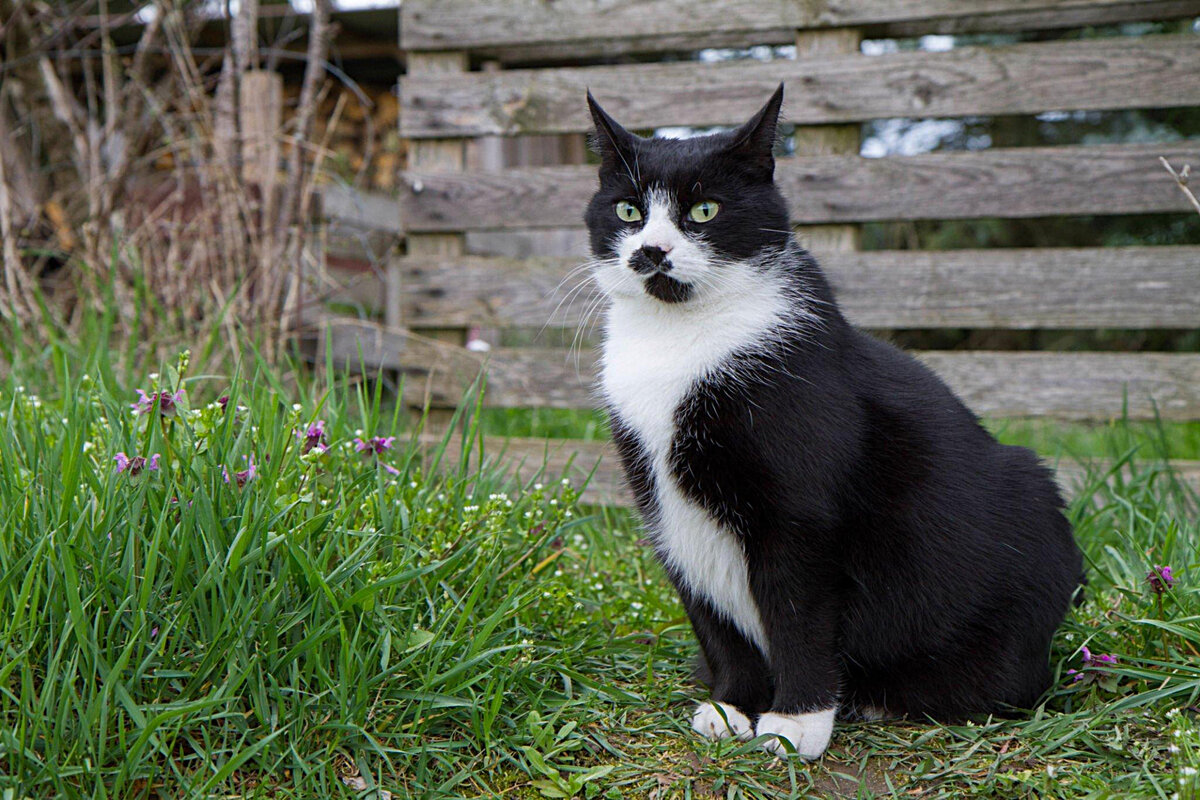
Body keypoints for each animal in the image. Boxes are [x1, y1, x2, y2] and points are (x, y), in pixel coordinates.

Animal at [585, 84, 1084, 762]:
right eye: (629, 210)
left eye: (706, 210)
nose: (651, 252)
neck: (680, 341)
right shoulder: (667, 506)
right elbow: (711, 611)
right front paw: (733, 703)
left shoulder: (800, 514)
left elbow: (798, 611)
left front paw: (796, 721)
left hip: (1028, 511)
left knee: (1004, 682)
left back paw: (883, 696)